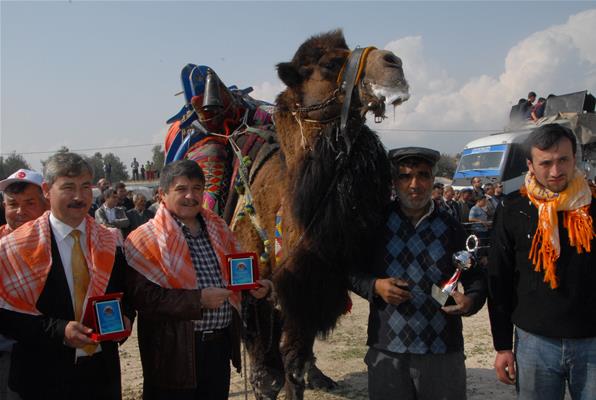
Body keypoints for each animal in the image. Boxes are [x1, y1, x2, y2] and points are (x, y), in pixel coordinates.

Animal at [230, 30, 412, 400]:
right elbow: (268, 368)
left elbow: (294, 365)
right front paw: (263, 385)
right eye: (329, 64)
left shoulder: (310, 287)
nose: (394, 62)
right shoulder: (258, 291)